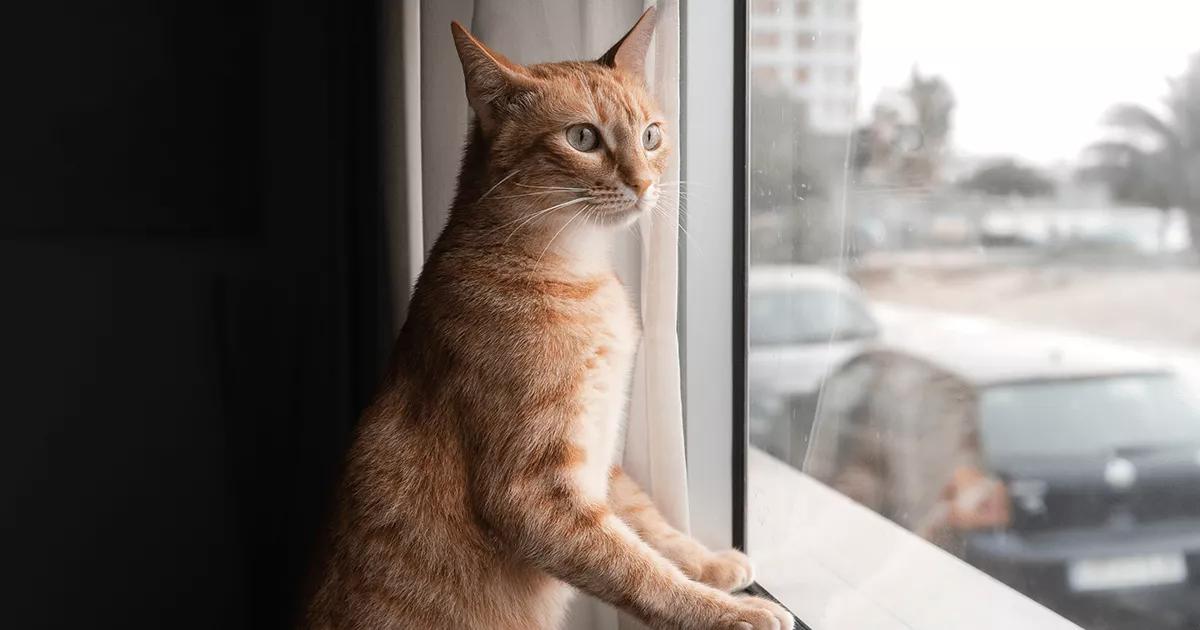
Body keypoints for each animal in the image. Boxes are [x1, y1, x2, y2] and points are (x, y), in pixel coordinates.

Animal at [307, 8, 796, 628]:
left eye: (651, 135)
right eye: (582, 137)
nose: (644, 184)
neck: (578, 271)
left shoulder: (602, 461)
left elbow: (649, 523)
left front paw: (709, 565)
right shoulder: (534, 495)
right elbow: (639, 570)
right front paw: (729, 613)